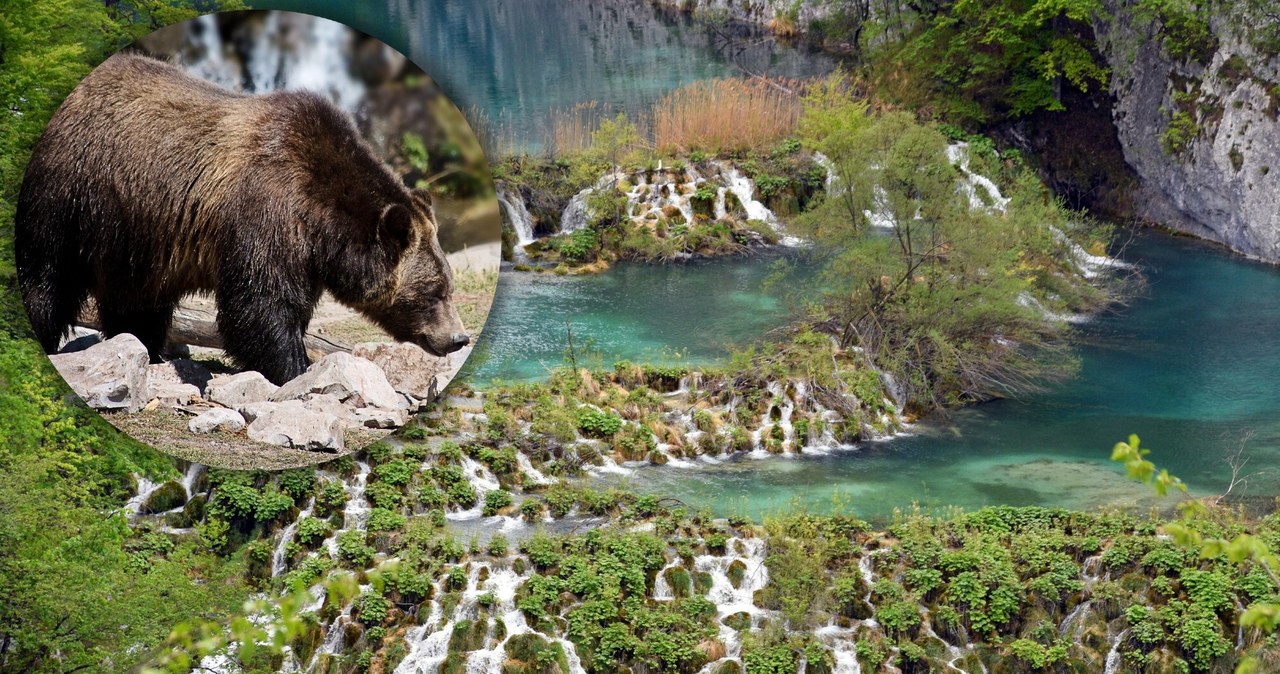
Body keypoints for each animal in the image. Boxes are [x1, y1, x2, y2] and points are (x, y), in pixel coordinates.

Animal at [16, 52, 471, 386]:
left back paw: (145, 346)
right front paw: (294, 368)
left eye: (448, 285)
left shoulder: (302, 251)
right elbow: (260, 304)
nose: (458, 338)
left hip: (132, 235)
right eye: (433, 292)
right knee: (46, 277)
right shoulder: (266, 210)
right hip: (70, 195)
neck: (321, 220)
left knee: (135, 300)